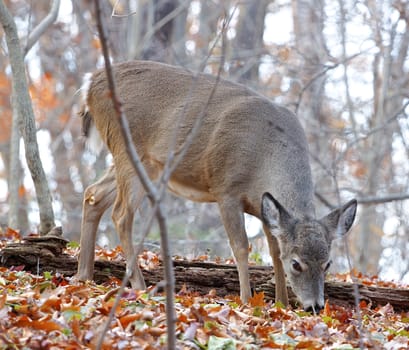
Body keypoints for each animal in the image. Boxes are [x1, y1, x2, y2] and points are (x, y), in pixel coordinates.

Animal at [76, 60, 356, 312]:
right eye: (297, 264)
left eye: (328, 263)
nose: (315, 306)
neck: (264, 158)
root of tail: (90, 83)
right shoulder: (226, 189)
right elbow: (241, 246)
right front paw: (246, 300)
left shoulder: (264, 207)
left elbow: (275, 253)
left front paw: (282, 304)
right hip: (128, 149)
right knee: (121, 214)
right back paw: (139, 285)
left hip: (144, 165)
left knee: (93, 195)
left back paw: (83, 275)